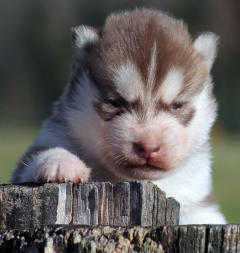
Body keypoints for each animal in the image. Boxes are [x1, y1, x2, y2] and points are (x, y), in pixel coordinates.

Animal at [10, 8, 225, 224]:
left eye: (177, 105)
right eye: (116, 102)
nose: (148, 146)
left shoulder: (199, 199)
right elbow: (39, 155)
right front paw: (61, 163)